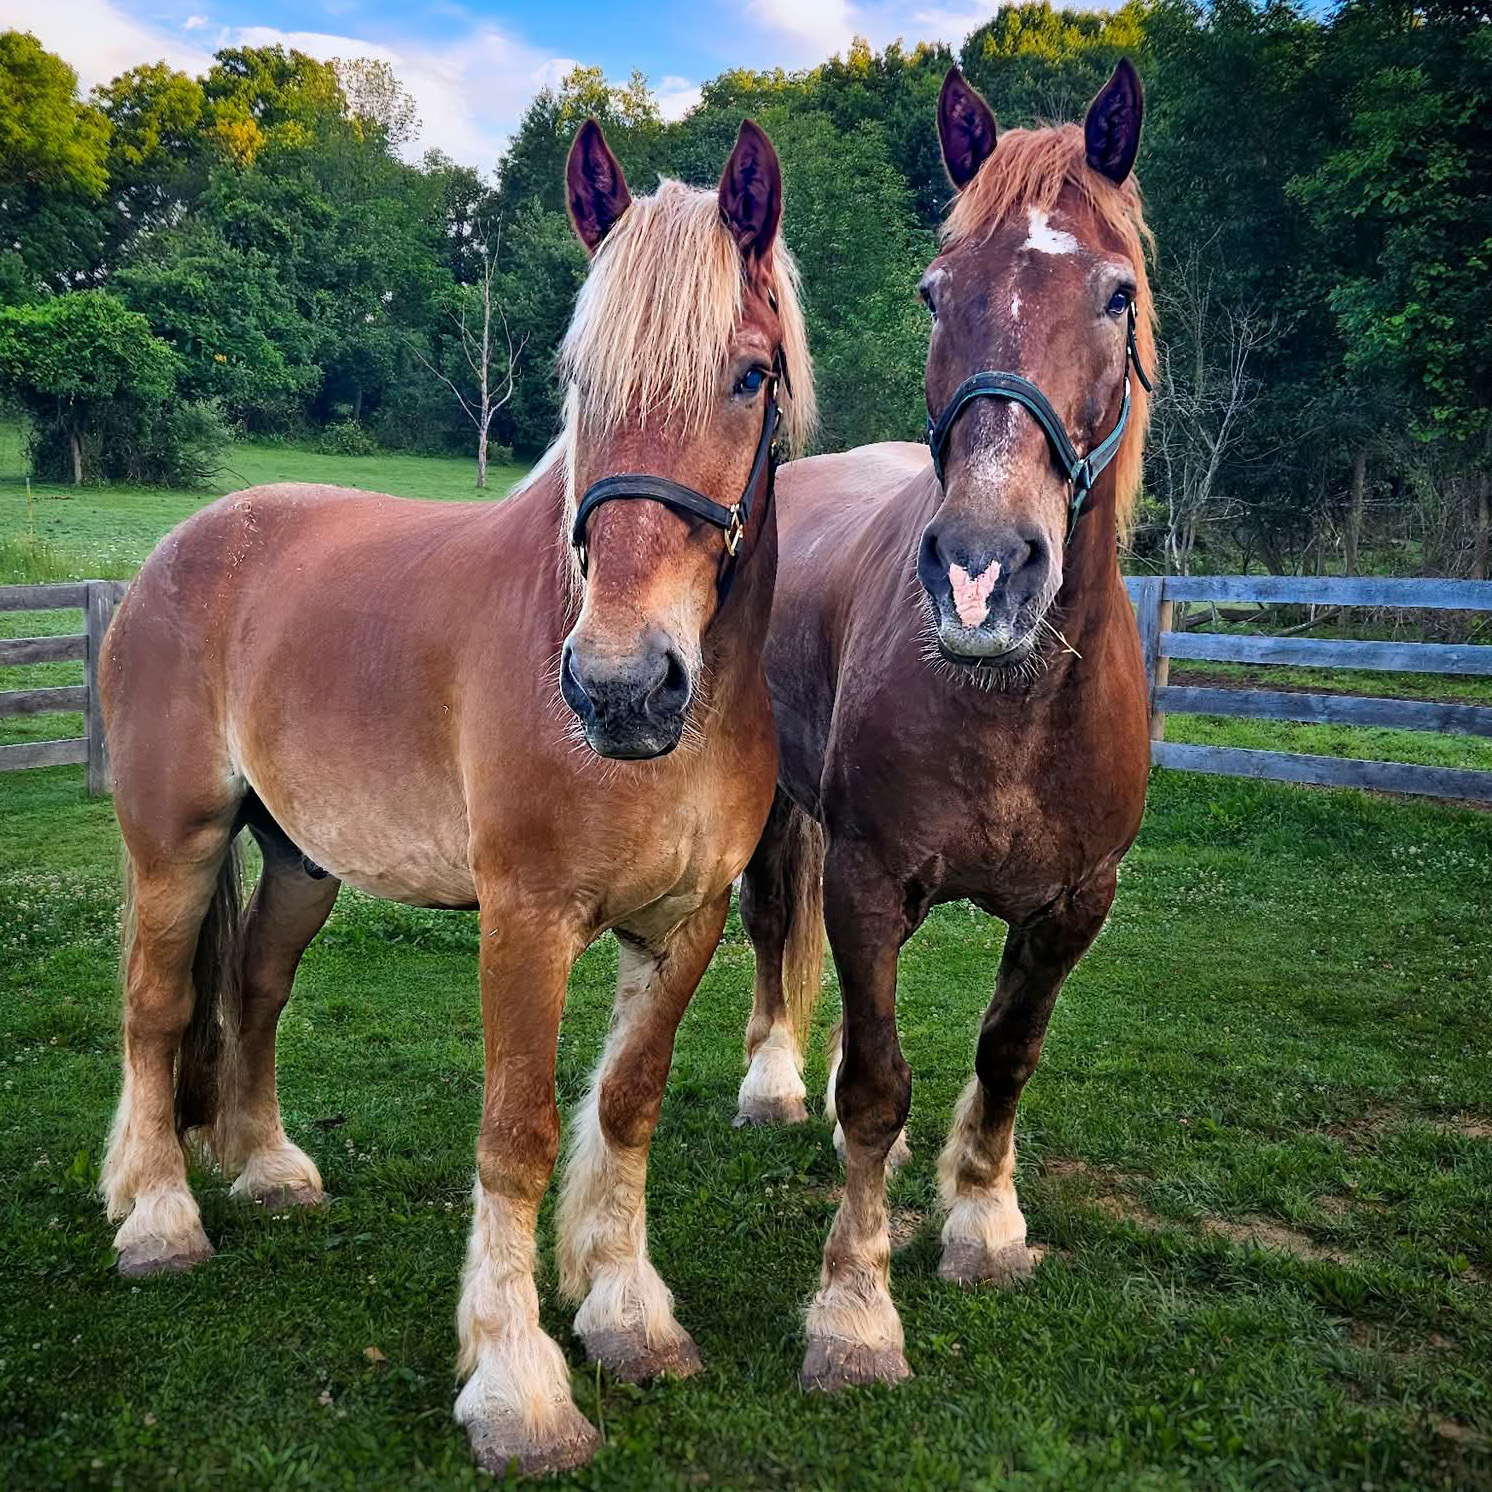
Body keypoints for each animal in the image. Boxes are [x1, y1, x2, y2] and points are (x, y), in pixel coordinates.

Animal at [96, 117, 814, 1474]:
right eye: (579, 379)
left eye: (750, 376)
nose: (621, 684)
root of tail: (179, 548)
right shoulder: (525, 922)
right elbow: (517, 1133)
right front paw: (517, 1383)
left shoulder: (683, 925)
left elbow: (626, 1107)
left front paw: (628, 1316)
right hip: (177, 843)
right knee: (158, 1012)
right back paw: (157, 1215)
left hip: (300, 862)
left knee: (253, 991)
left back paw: (268, 1167)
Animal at [733, 61, 1156, 1391]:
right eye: (935, 290)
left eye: (1115, 293)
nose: (981, 572)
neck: (1013, 703)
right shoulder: (867, 877)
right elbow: (878, 1081)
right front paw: (854, 1307)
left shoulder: (1077, 900)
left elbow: (1005, 1053)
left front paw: (983, 1217)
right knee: (771, 923)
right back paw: (776, 1082)